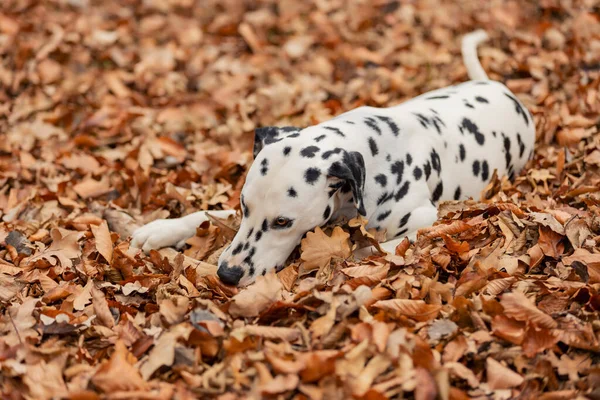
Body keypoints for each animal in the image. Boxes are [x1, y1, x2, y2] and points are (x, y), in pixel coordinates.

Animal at [131, 32, 536, 288]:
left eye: (283, 221)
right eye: (245, 206)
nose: (227, 275)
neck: (375, 153)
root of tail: (498, 87)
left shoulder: (425, 218)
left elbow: (384, 246)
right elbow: (211, 214)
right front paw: (164, 228)